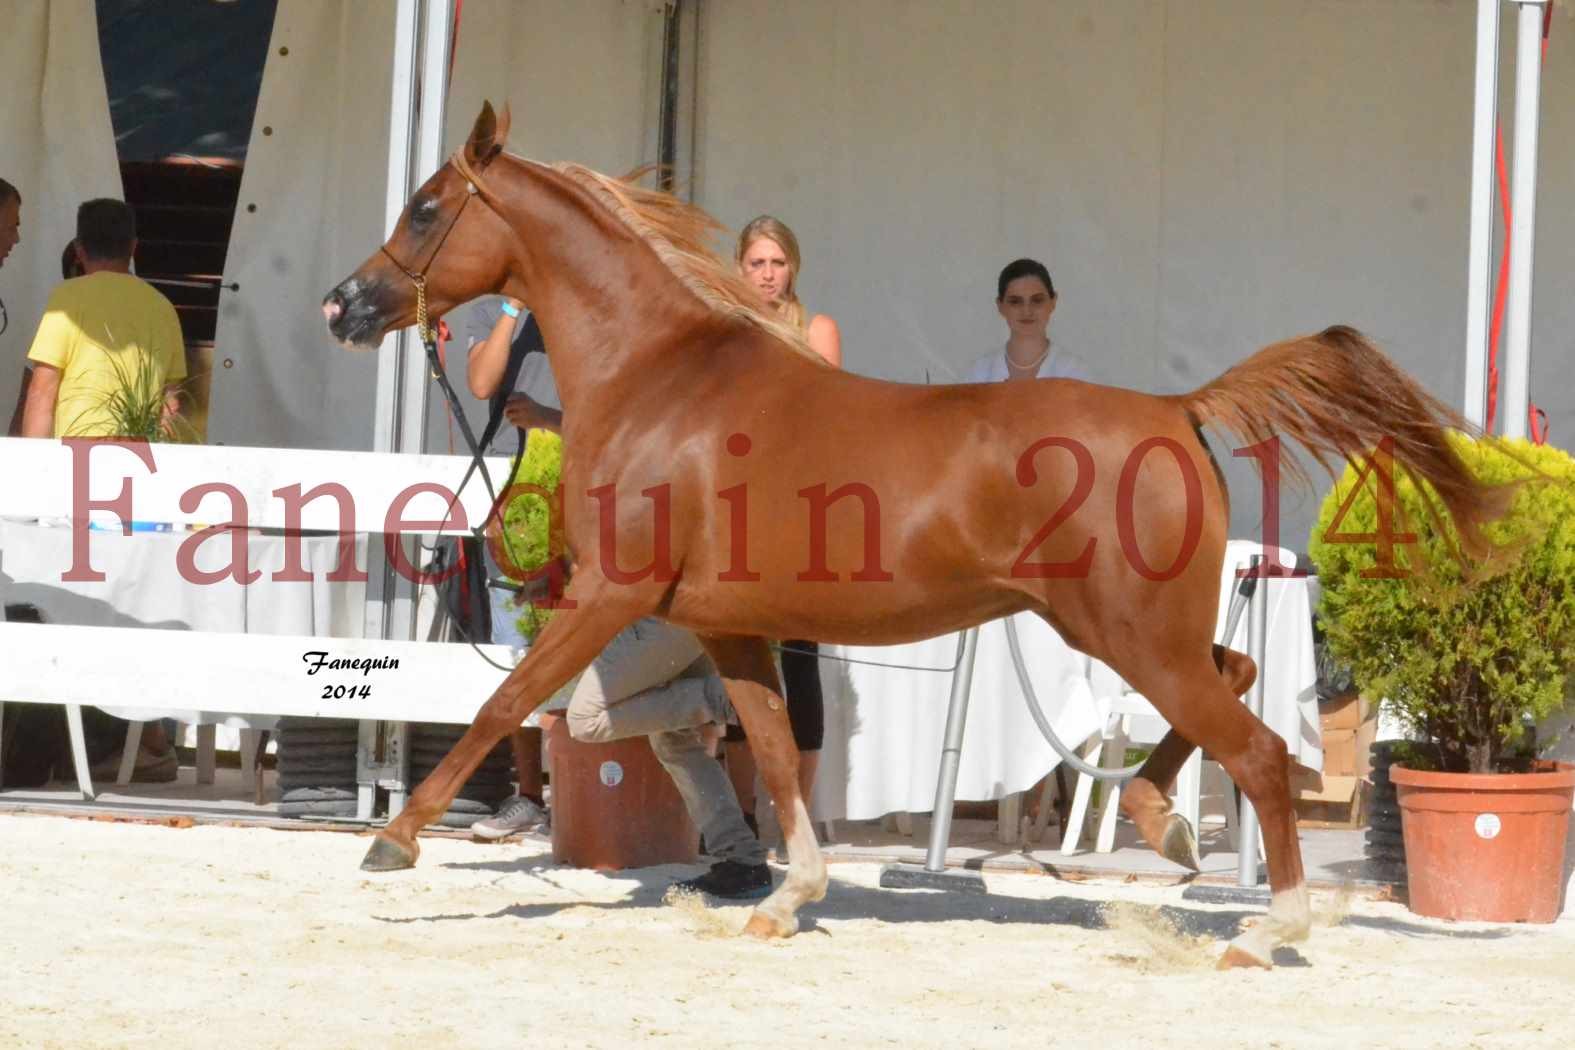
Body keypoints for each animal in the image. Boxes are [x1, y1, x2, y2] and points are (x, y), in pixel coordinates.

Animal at [322, 104, 1499, 969]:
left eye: (427, 209)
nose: (343, 306)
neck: (664, 379)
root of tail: (1176, 410)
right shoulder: (735, 628)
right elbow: (774, 760)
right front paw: (785, 900)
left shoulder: (611, 594)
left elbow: (503, 702)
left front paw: (390, 841)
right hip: (1133, 631)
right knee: (1236, 681)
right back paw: (1161, 818)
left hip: (1126, 634)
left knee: (1252, 746)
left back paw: (1266, 928)